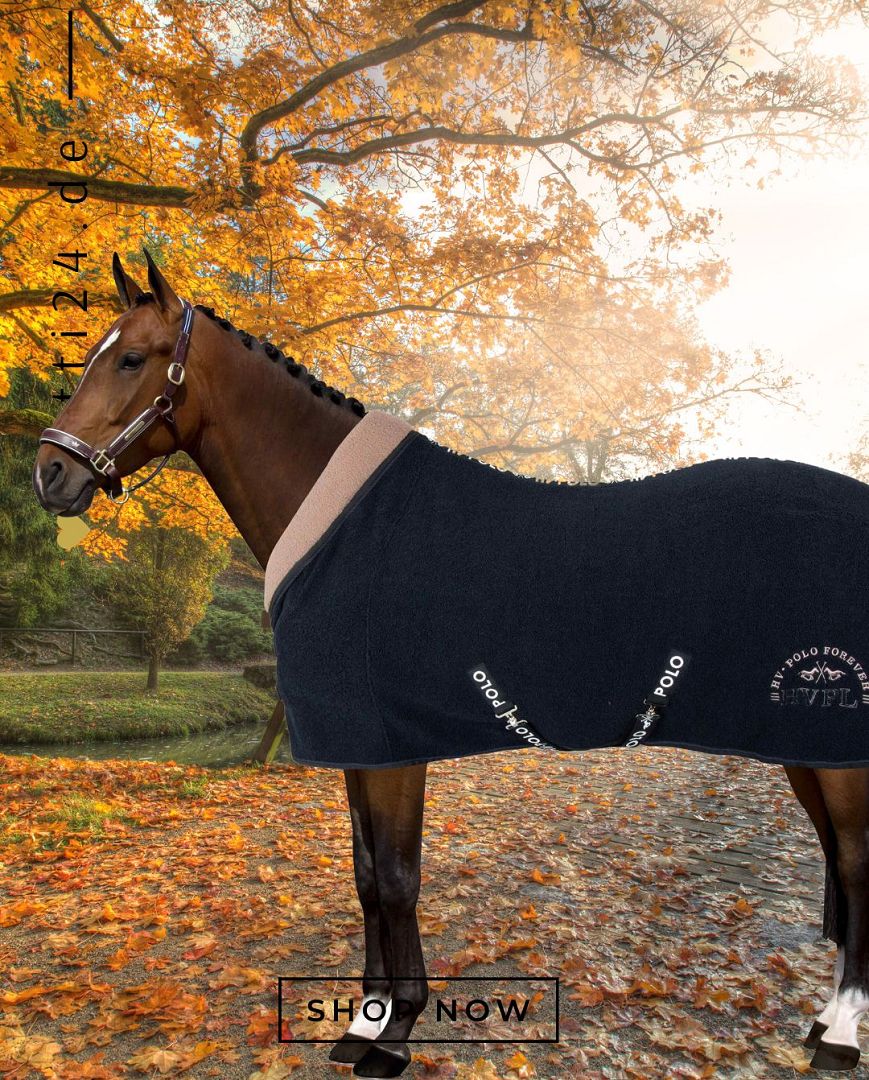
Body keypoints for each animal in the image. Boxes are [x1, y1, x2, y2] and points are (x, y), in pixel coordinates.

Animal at [32, 250, 869, 1076]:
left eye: (131, 358)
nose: (47, 474)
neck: (347, 526)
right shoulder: (355, 747)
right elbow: (367, 876)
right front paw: (363, 1021)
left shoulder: (396, 748)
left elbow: (398, 879)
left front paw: (394, 1031)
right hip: (801, 747)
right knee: (839, 861)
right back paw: (822, 1020)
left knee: (856, 865)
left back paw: (839, 1034)